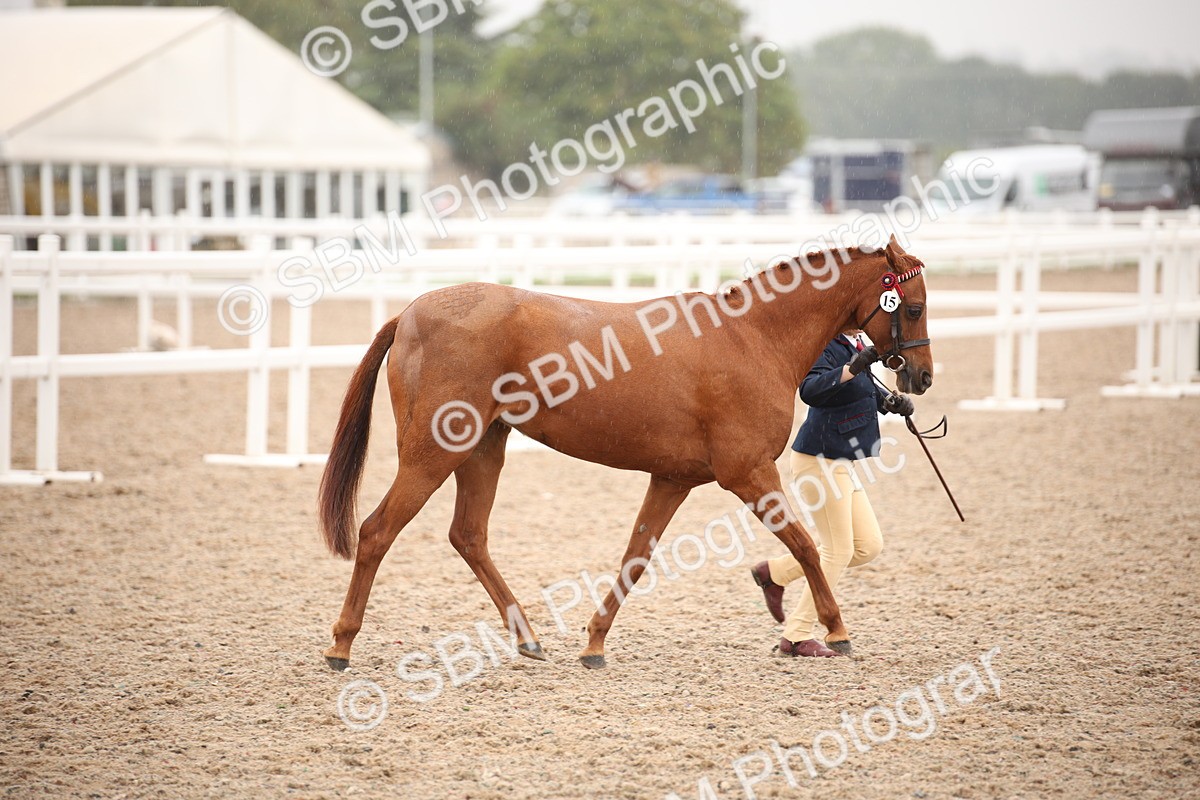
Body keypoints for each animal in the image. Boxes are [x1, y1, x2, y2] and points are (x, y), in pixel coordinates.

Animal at [317, 235, 934, 671]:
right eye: (914, 307)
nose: (922, 377)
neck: (751, 337)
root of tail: (410, 313)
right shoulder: (749, 474)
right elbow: (805, 545)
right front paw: (837, 629)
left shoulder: (672, 479)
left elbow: (635, 558)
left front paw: (593, 643)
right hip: (433, 454)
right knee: (377, 532)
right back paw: (341, 646)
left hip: (483, 450)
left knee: (468, 536)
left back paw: (528, 638)